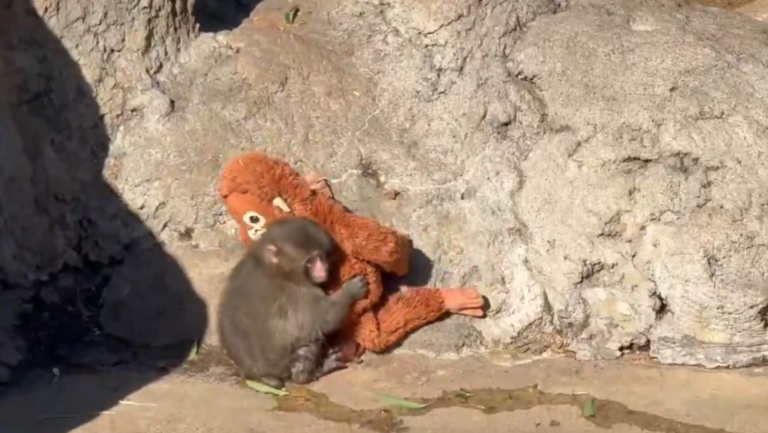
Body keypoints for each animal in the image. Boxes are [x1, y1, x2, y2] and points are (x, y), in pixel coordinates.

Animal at [217, 216, 368, 389]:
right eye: (310, 261)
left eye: (321, 257)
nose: (323, 271)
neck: (274, 267)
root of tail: (254, 374)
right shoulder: (298, 293)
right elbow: (323, 319)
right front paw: (351, 290)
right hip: (283, 365)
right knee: (308, 344)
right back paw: (310, 374)